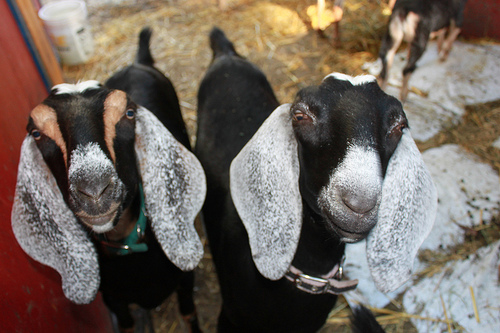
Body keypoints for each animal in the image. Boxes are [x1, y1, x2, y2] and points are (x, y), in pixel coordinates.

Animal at [10, 27, 205, 332]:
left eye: (129, 113)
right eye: (37, 133)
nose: (93, 190)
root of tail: (137, 62)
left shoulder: (185, 279)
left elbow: (188, 313)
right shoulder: (113, 300)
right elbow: (126, 324)